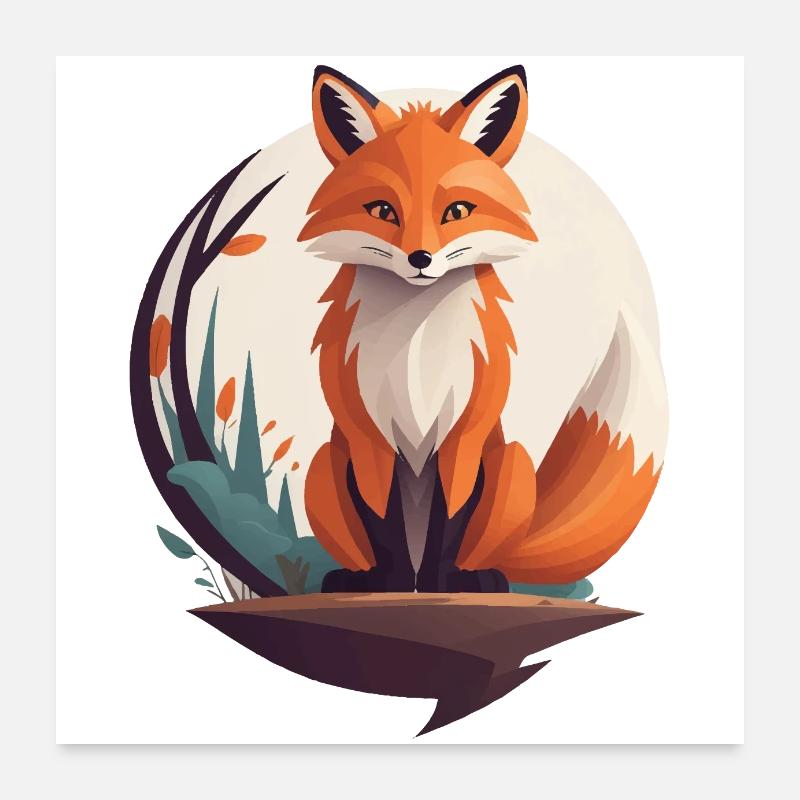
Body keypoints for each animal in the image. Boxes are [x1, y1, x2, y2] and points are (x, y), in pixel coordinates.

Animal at [297, 64, 665, 593]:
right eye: (383, 211)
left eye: (457, 212)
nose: (421, 258)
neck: (416, 346)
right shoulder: (368, 437)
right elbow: (382, 521)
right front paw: (391, 585)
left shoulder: (465, 434)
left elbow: (451, 519)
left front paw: (440, 585)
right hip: (322, 467)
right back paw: (358, 577)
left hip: (512, 463)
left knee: (489, 552)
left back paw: (479, 576)